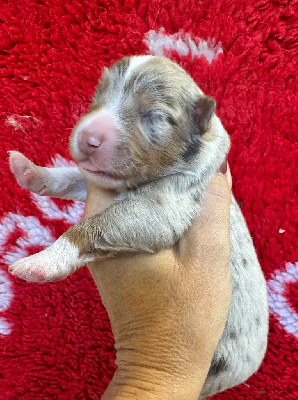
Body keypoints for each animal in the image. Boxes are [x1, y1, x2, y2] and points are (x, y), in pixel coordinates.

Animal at [8, 55, 268, 396]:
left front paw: (43, 261)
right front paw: (30, 172)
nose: (88, 138)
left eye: (154, 115)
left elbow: (94, 225)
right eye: (98, 94)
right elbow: (72, 177)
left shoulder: (165, 207)